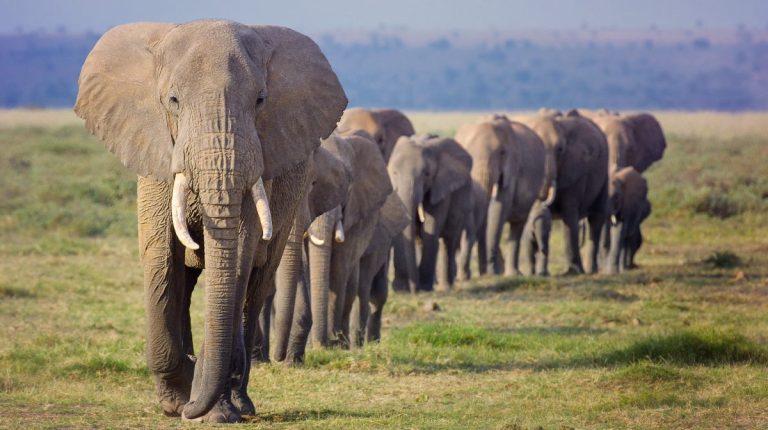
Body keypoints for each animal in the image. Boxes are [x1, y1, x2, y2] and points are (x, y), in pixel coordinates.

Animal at [74, 20, 346, 423]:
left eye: (260, 101)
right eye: (173, 100)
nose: (190, 406)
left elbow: (238, 258)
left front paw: (208, 408)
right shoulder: (156, 151)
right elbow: (160, 255)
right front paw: (177, 400)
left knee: (255, 286)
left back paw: (240, 403)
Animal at [305, 131, 393, 347]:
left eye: (349, 186)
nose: (321, 343)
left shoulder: (356, 213)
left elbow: (338, 269)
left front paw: (330, 344)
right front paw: (315, 346)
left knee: (351, 286)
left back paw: (344, 343)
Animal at [390, 134, 474, 293]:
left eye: (427, 174)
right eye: (394, 173)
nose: (413, 290)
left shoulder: (441, 187)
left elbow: (430, 228)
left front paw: (424, 287)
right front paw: (401, 289)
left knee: (449, 240)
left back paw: (446, 286)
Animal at [454, 115, 553, 278]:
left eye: (502, 153)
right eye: (467, 153)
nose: (464, 275)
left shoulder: (512, 167)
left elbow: (500, 205)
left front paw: (491, 273)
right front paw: (486, 273)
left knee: (517, 226)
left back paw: (513, 274)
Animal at [516, 111, 609, 275]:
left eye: (560, 149)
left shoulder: (576, 170)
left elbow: (570, 215)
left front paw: (572, 273)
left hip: (604, 172)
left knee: (596, 218)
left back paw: (590, 271)